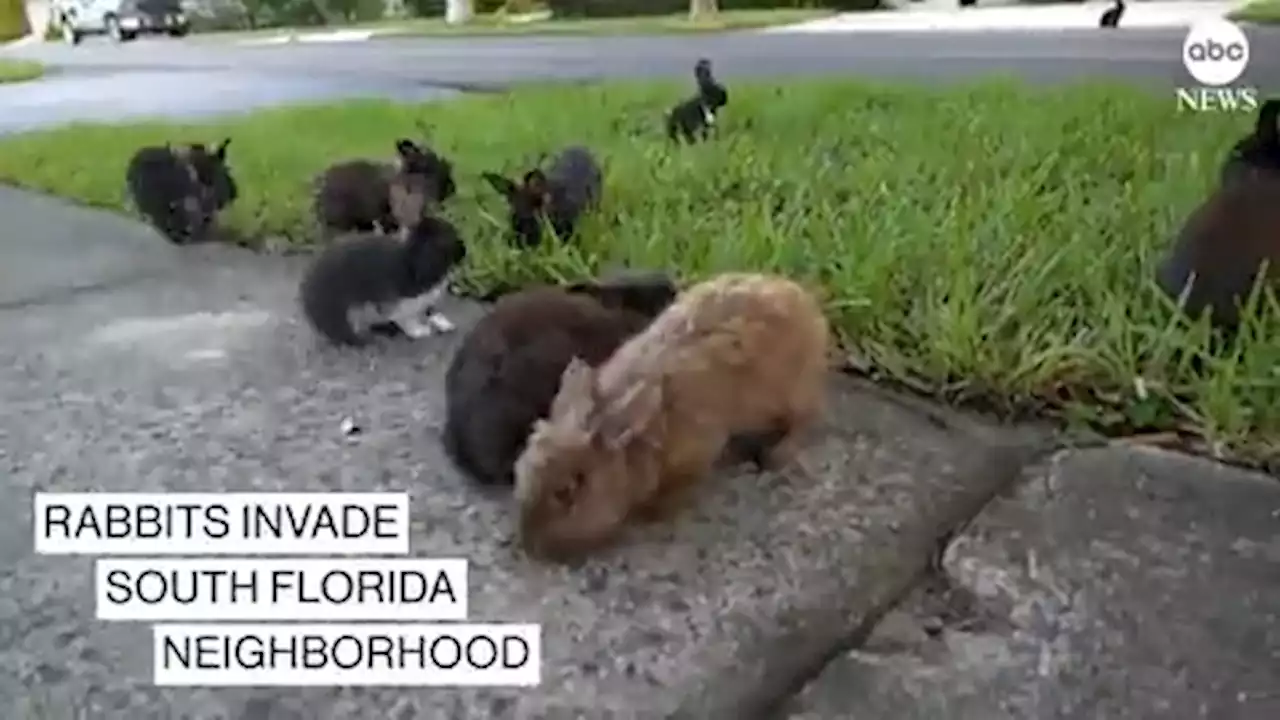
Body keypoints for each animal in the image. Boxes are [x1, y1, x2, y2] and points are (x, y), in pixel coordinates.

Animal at [298, 170, 465, 345]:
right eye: (452, 235)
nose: (463, 248)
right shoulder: (394, 299)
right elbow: (404, 316)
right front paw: (418, 330)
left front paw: (441, 322)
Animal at [509, 270, 829, 561]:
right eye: (521, 469)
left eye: (566, 492)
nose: (529, 547)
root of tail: (810, 311)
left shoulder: (695, 451)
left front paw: (653, 515)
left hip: (791, 393)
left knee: (806, 418)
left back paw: (778, 453)